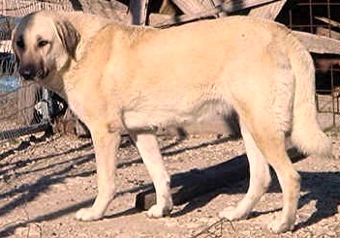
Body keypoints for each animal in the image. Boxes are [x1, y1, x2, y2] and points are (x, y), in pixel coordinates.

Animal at [11, 10, 330, 232]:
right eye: (19, 44)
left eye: (43, 43)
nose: (25, 73)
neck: (78, 51)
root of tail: (282, 31)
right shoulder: (141, 132)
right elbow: (158, 174)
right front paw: (162, 208)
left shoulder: (105, 133)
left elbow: (106, 181)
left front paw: (95, 213)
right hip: (251, 126)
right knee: (261, 178)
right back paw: (238, 214)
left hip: (262, 129)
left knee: (290, 177)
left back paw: (283, 224)